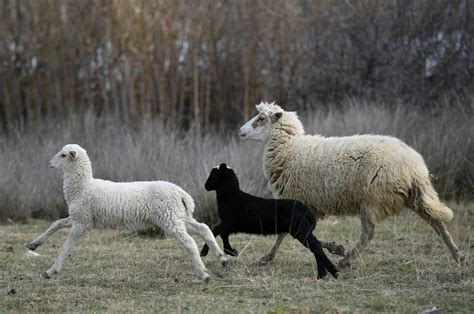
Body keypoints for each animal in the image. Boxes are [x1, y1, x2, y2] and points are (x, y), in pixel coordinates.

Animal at [27, 145, 228, 282]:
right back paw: (221, 257)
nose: (50, 164)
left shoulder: (82, 223)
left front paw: (51, 271)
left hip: (170, 219)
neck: (83, 187)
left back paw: (204, 274)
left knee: (190, 242)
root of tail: (182, 193)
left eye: (63, 155)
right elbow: (56, 223)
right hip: (178, 217)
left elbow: (66, 246)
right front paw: (34, 244)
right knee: (203, 228)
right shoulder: (81, 218)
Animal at [198, 163, 338, 278]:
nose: (205, 186)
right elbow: (222, 234)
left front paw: (204, 252)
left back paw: (333, 272)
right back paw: (322, 274)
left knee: (316, 246)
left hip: (300, 230)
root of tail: (308, 212)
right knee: (316, 245)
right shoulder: (230, 225)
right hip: (303, 230)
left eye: (213, 175)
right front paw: (232, 251)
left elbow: (214, 231)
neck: (231, 196)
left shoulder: (229, 222)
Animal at [239, 102, 462, 266]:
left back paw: (346, 261)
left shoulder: (297, 199)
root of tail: (415, 167)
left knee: (368, 233)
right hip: (413, 197)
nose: (240, 131)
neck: (291, 149)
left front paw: (266, 257)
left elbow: (285, 233)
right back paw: (457, 255)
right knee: (437, 223)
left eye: (261, 119)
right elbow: (296, 233)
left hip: (373, 199)